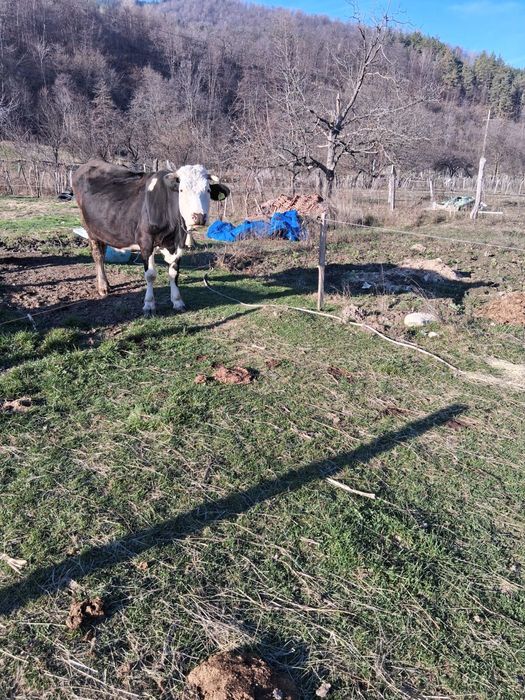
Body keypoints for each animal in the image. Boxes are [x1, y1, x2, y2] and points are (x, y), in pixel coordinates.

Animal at [73, 159, 230, 316]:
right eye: (181, 190)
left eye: (208, 190)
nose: (199, 217)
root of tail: (90, 162)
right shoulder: (146, 241)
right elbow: (150, 274)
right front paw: (149, 305)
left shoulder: (178, 242)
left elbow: (174, 272)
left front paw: (177, 301)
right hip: (89, 228)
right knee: (98, 255)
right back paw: (102, 287)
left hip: (102, 230)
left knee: (103, 251)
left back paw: (107, 283)